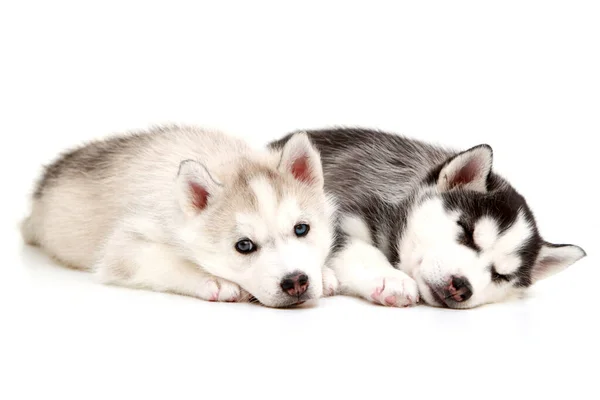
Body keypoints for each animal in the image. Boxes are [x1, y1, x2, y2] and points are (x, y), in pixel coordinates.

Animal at [21, 126, 338, 308]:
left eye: (301, 229)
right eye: (244, 246)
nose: (296, 282)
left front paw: (323, 271)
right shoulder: (124, 246)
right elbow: (169, 261)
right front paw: (215, 281)